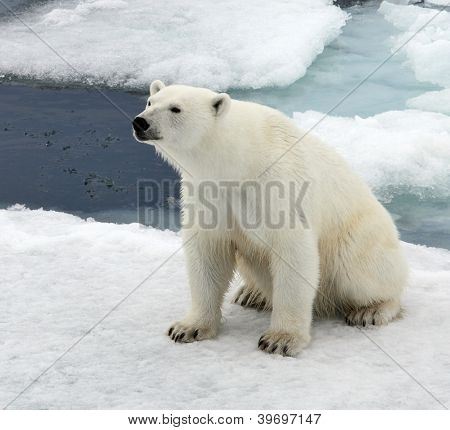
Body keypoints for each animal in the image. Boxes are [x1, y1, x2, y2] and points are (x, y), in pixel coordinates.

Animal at [131, 80, 408, 356]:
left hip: (360, 237)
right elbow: (208, 253)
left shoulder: (279, 185)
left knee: (359, 270)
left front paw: (281, 339)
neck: (240, 162)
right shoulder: (208, 193)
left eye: (175, 108)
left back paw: (371, 310)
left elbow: (292, 251)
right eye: (150, 102)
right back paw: (252, 294)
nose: (140, 122)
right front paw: (187, 328)